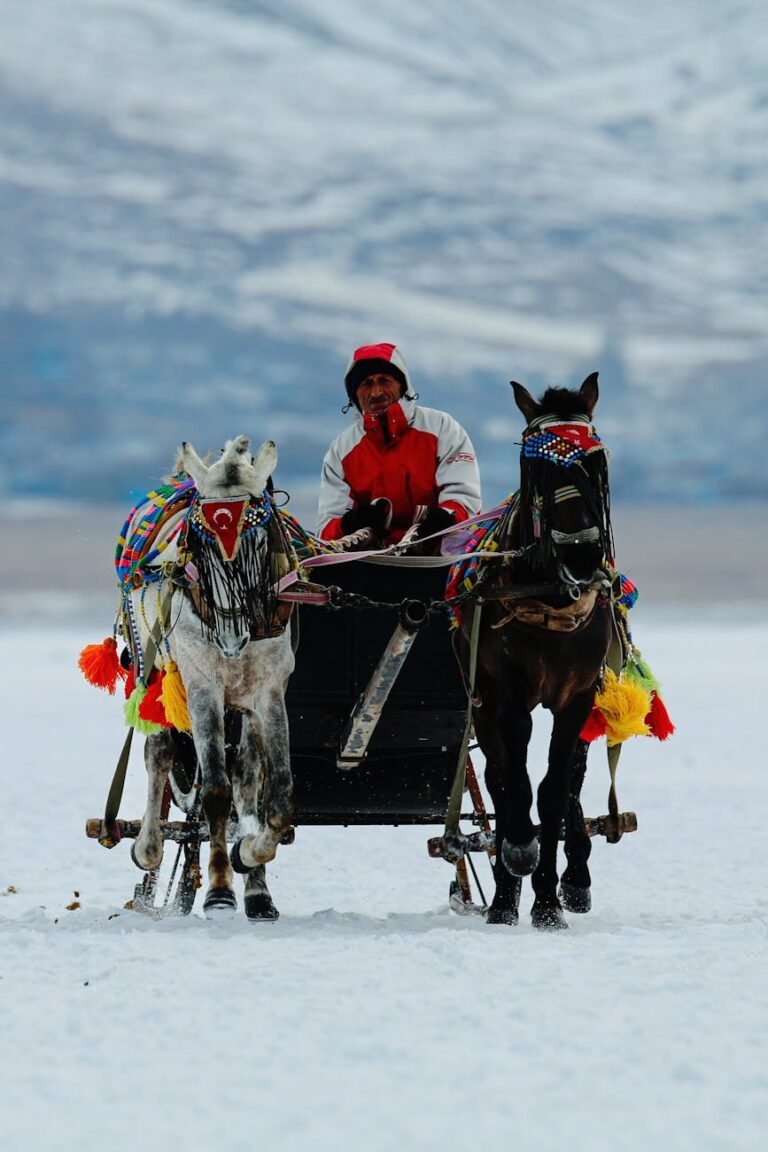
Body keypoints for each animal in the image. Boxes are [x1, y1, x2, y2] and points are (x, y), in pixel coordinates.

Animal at [128, 435, 297, 921]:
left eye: (258, 537)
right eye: (200, 543)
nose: (231, 636)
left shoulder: (268, 691)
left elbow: (276, 795)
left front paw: (251, 854)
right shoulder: (202, 684)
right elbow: (216, 791)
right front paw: (220, 889)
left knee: (246, 776)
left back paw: (258, 892)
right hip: (155, 671)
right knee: (159, 754)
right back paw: (148, 849)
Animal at [460, 373, 617, 930]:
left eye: (597, 462)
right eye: (536, 467)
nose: (583, 553)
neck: (549, 594)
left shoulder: (578, 697)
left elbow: (553, 790)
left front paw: (549, 899)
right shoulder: (509, 697)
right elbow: (517, 787)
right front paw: (516, 870)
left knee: (570, 781)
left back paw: (575, 878)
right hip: (480, 701)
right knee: (499, 779)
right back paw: (505, 889)